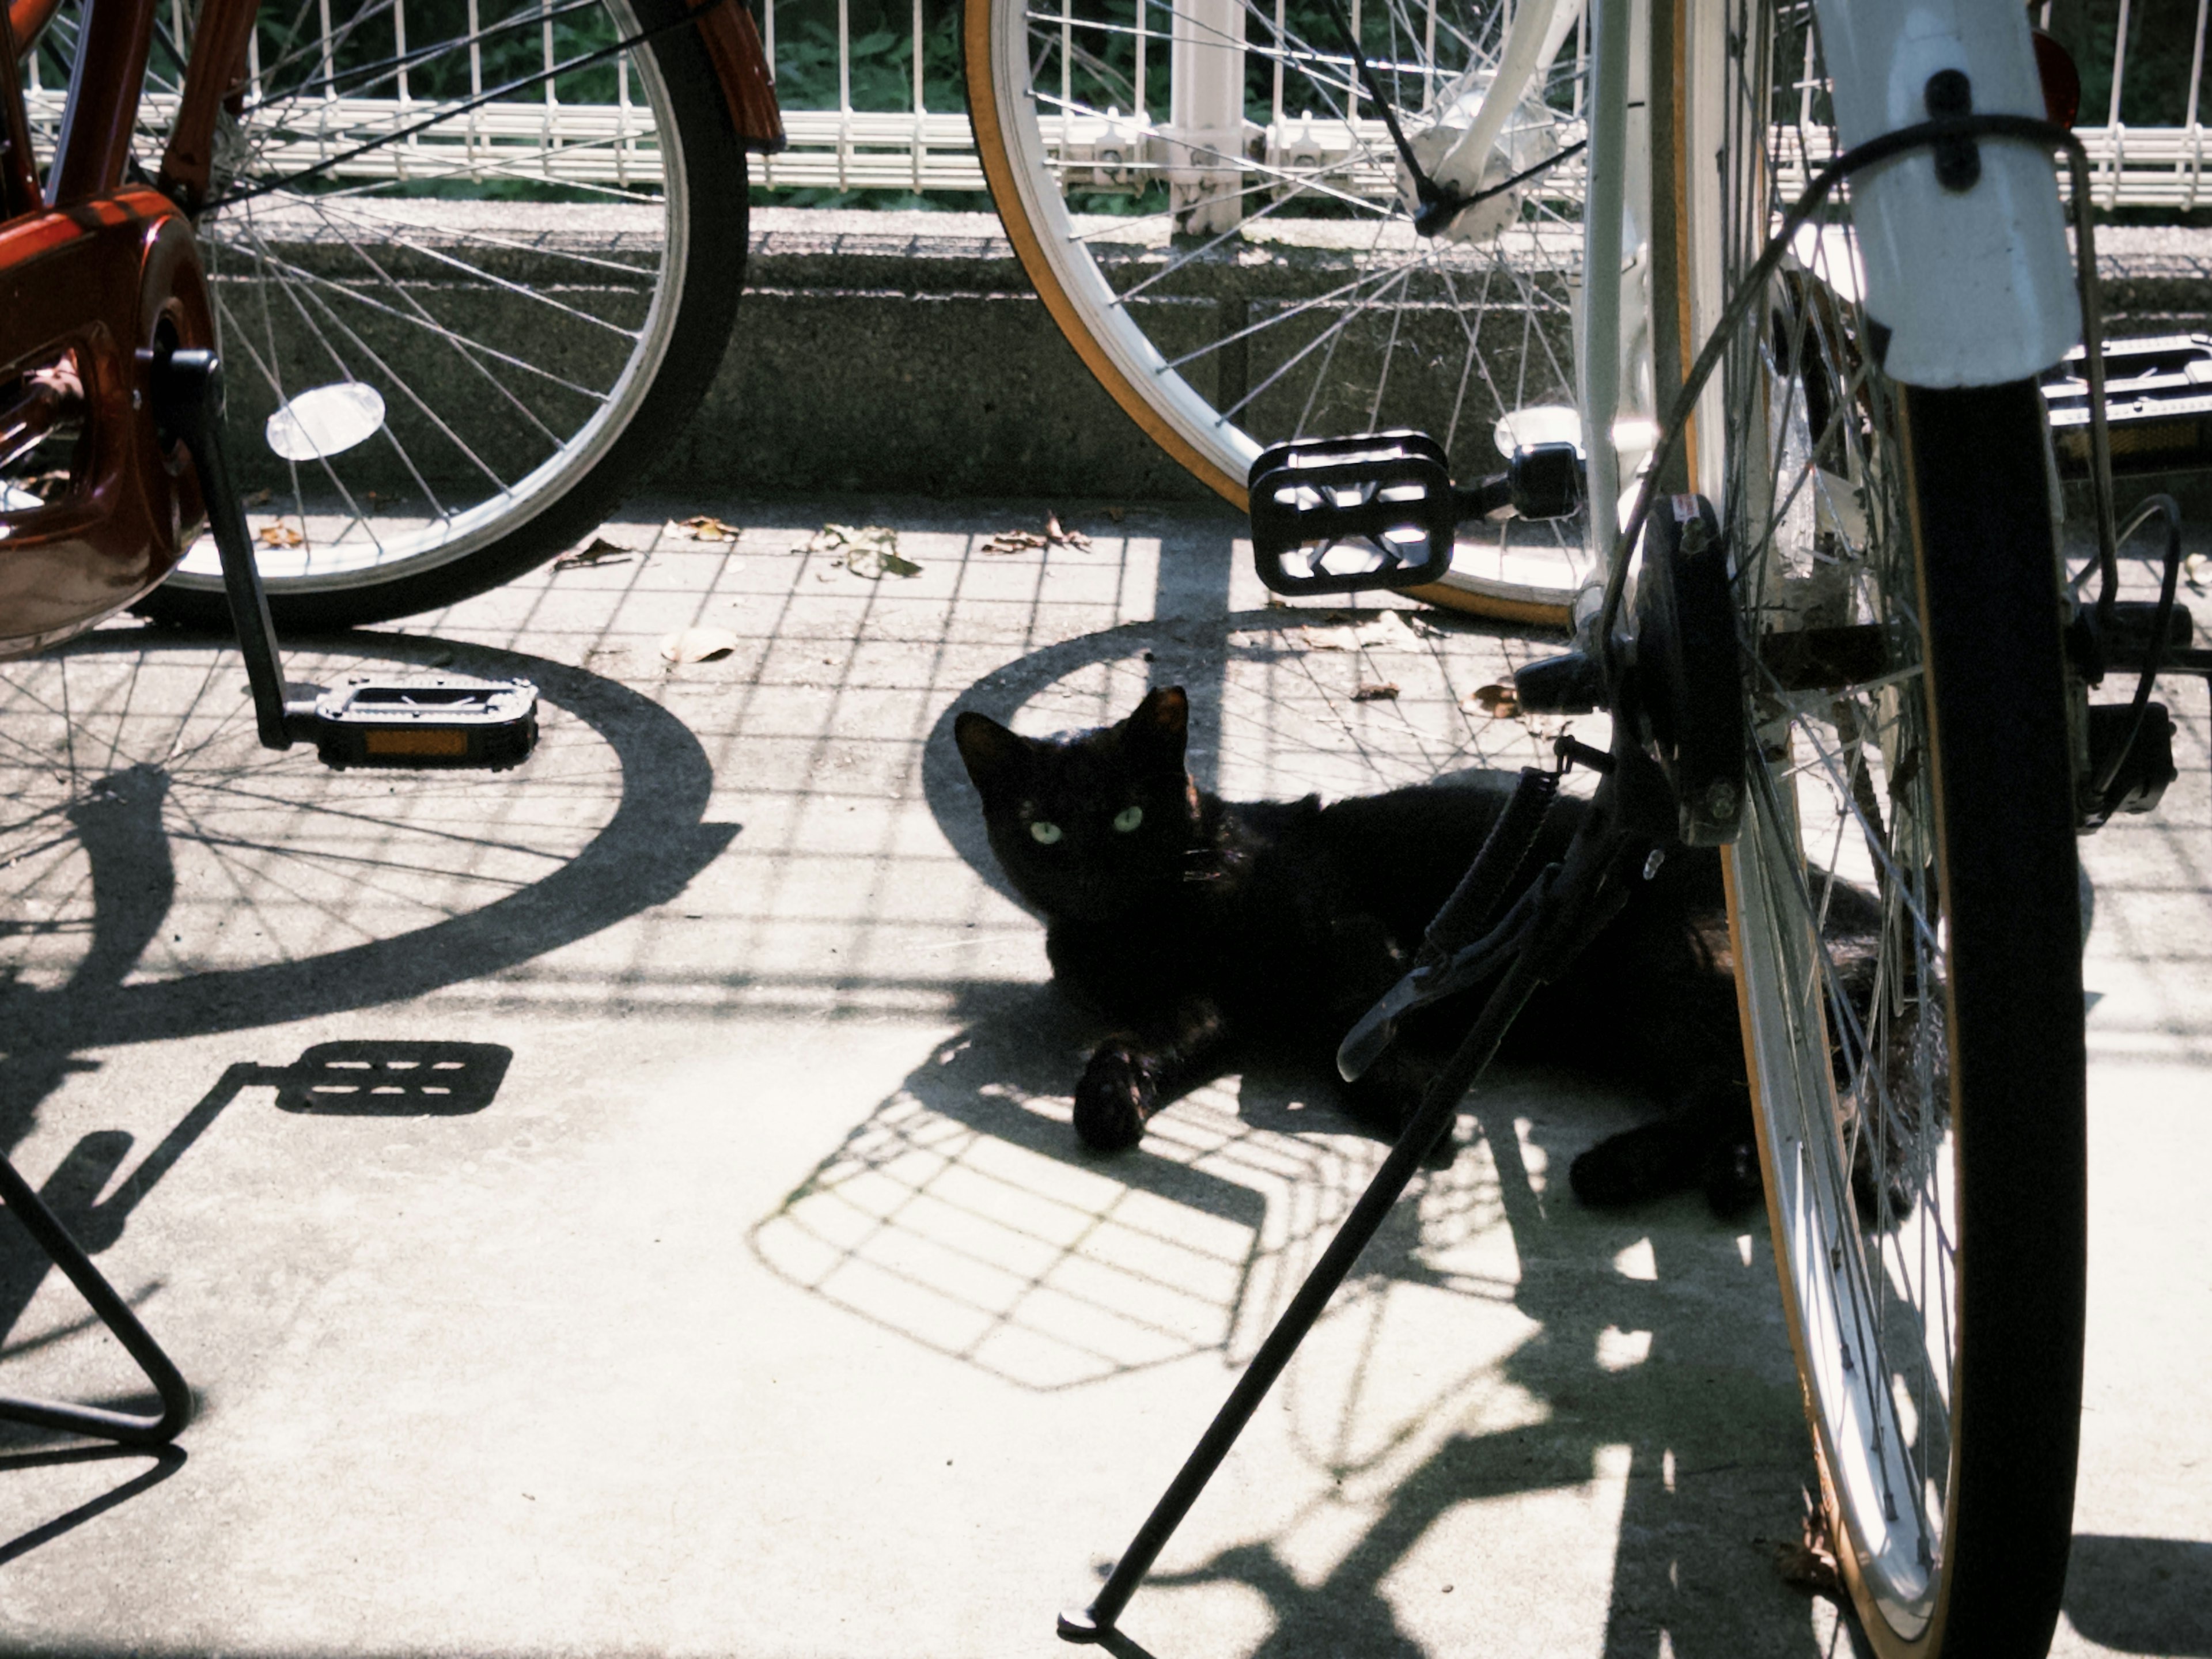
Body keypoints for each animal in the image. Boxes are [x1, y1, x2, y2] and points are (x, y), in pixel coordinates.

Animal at [960, 690, 1893, 1221]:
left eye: (1128, 817)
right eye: (1045, 829)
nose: (1094, 872)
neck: (1146, 926)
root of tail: (1872, 916)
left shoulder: (1366, 949)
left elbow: (1344, 1044)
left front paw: (1416, 1113)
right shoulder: (1198, 1007)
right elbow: (1130, 1043)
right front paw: (1107, 1100)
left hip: (1670, 973)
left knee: (1764, 1098)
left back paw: (1626, 1168)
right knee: (1747, 1105)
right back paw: (1690, 1173)